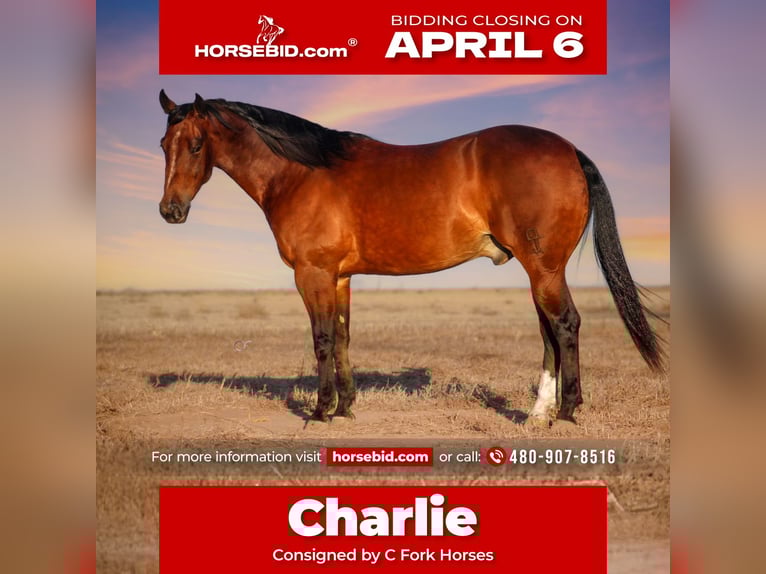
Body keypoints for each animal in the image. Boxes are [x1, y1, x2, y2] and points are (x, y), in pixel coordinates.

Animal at [157, 90, 666, 424]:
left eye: (196, 145)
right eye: (164, 145)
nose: (170, 211)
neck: (301, 173)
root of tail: (568, 149)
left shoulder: (312, 274)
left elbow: (322, 340)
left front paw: (320, 411)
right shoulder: (340, 277)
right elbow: (343, 339)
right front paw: (346, 408)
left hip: (543, 269)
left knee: (564, 326)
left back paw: (566, 412)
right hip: (541, 270)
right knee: (549, 333)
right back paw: (538, 413)